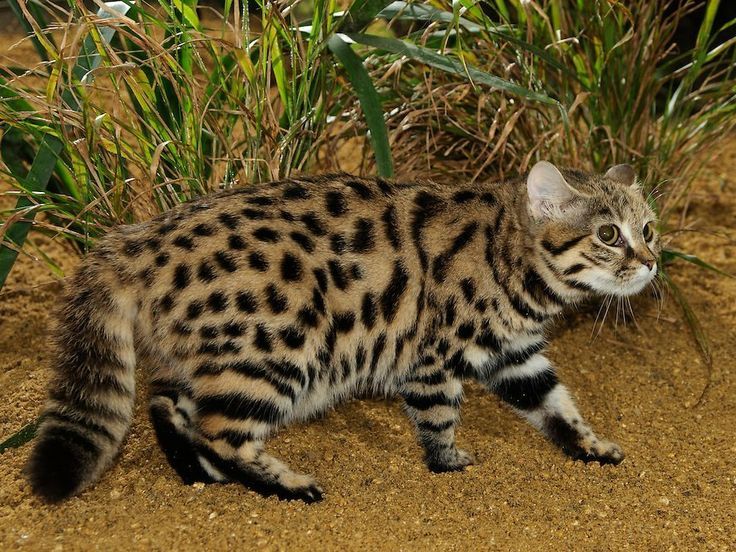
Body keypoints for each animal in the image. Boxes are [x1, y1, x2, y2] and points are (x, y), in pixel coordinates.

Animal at [25, 160, 660, 500]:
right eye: (608, 235)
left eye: (649, 228)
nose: (653, 262)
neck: (512, 261)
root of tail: (137, 239)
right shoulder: (433, 359)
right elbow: (438, 418)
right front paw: (447, 461)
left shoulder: (517, 355)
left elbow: (558, 405)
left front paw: (590, 447)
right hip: (277, 347)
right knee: (220, 430)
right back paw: (283, 484)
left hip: (217, 354)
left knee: (166, 404)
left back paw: (197, 472)